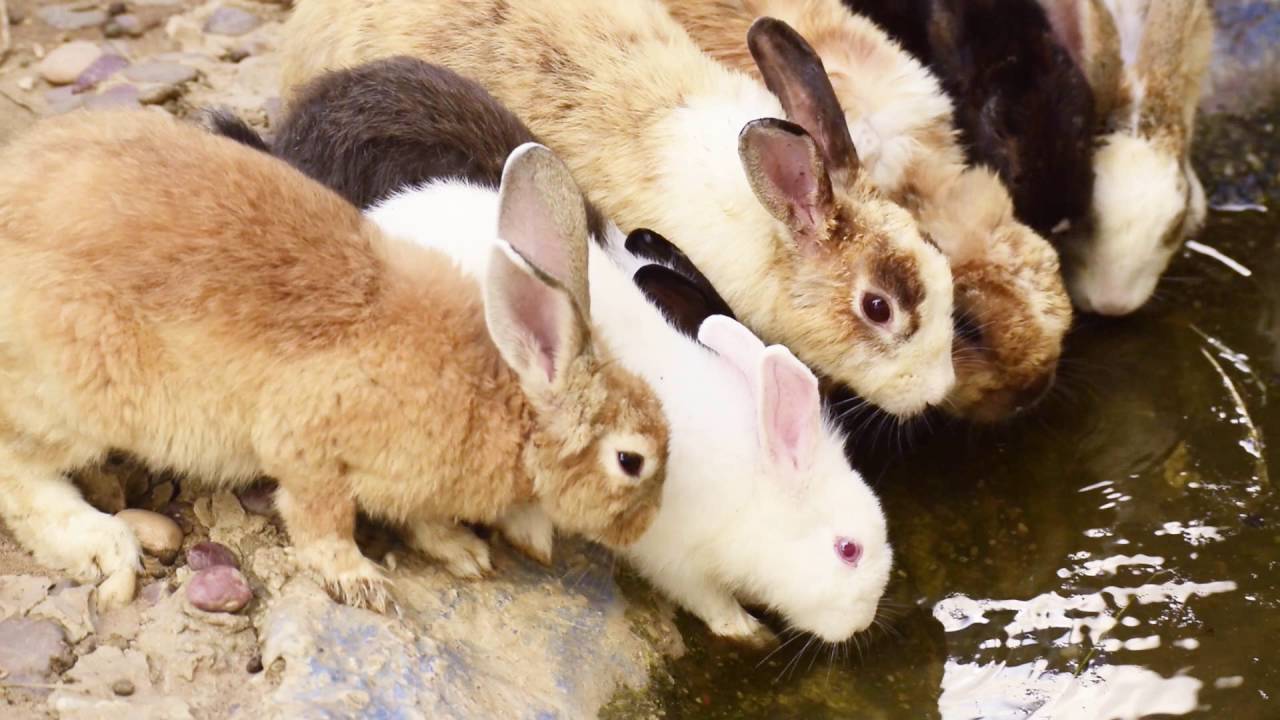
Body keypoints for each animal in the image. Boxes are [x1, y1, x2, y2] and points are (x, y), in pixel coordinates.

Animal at [0, 111, 669, 612]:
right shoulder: (308, 444)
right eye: (631, 461)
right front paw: (361, 580)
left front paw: (464, 553)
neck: (505, 393)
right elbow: (321, 518)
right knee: (18, 473)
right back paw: (103, 543)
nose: (640, 530)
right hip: (78, 396)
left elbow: (423, 519)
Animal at [211, 60, 892, 643]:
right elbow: (704, 597)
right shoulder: (675, 556)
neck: (754, 484)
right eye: (848, 550)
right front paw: (744, 630)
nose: (863, 621)